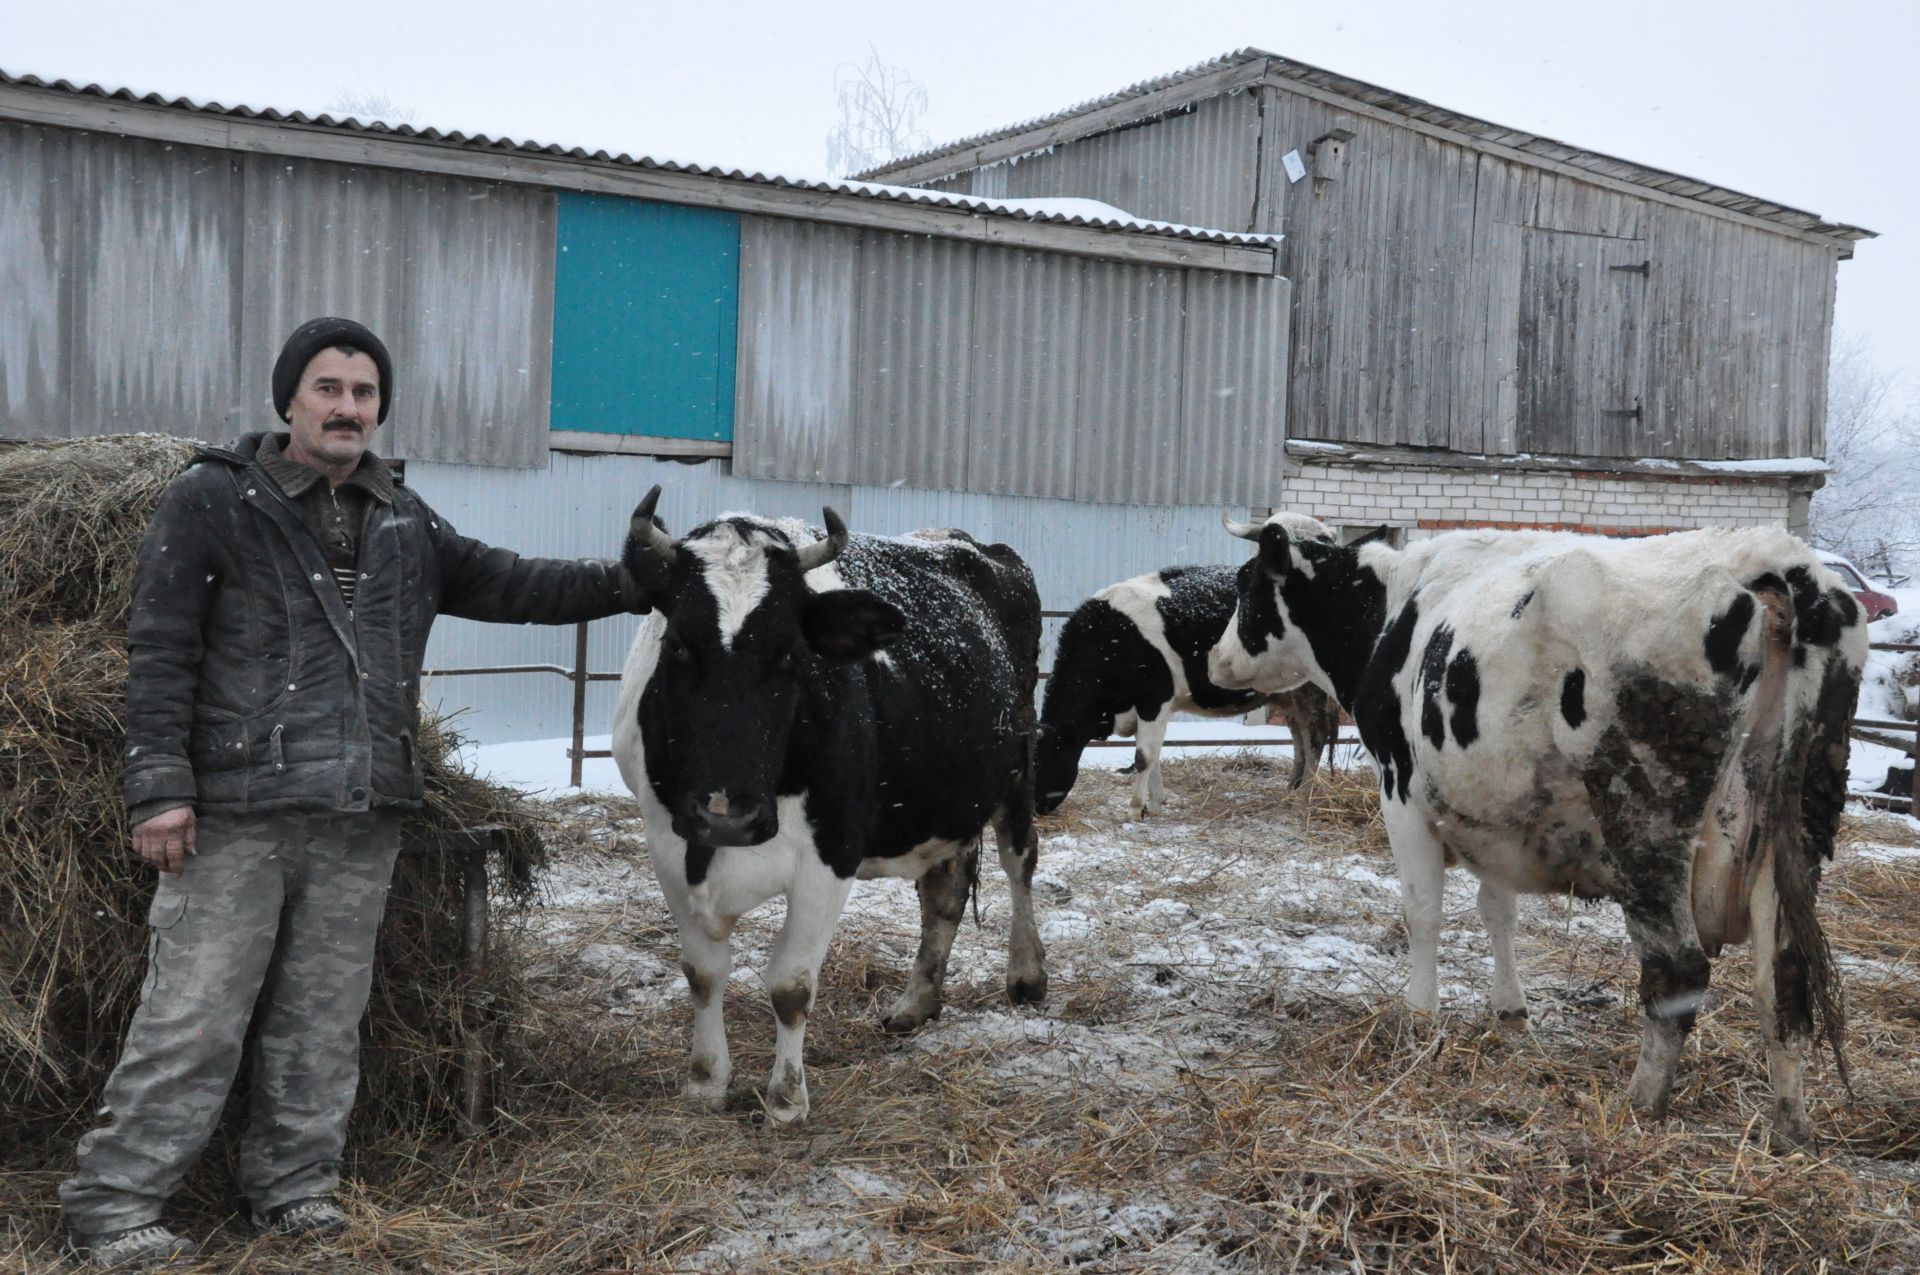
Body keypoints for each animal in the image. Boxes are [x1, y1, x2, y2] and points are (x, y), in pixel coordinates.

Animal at [614, 491, 1044, 1121]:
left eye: (791, 654)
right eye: (678, 647)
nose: (728, 814)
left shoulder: (830, 853)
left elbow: (790, 986)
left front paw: (786, 1099)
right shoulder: (668, 845)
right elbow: (703, 973)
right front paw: (706, 1081)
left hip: (1017, 763)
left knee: (1020, 861)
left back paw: (1027, 975)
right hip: (945, 798)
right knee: (945, 889)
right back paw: (916, 1003)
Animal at [1044, 564, 1344, 817]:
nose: (1037, 810)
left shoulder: (1154, 699)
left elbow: (1144, 757)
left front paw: (1135, 809)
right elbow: (1154, 754)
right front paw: (1155, 804)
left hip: (1310, 689)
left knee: (1314, 737)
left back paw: (1305, 796)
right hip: (1288, 694)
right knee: (1299, 736)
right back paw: (1292, 788)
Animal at [1213, 514, 1858, 1152]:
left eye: (1247, 584)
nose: (1216, 660)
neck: (1388, 614)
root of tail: (1772, 557)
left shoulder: (1401, 791)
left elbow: (1423, 912)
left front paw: (1418, 1018)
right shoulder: (1495, 817)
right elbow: (1498, 912)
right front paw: (1511, 1014)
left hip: (1645, 816)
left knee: (1679, 970)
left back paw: (1639, 1104)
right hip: (1793, 832)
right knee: (1785, 980)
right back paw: (1790, 1128)